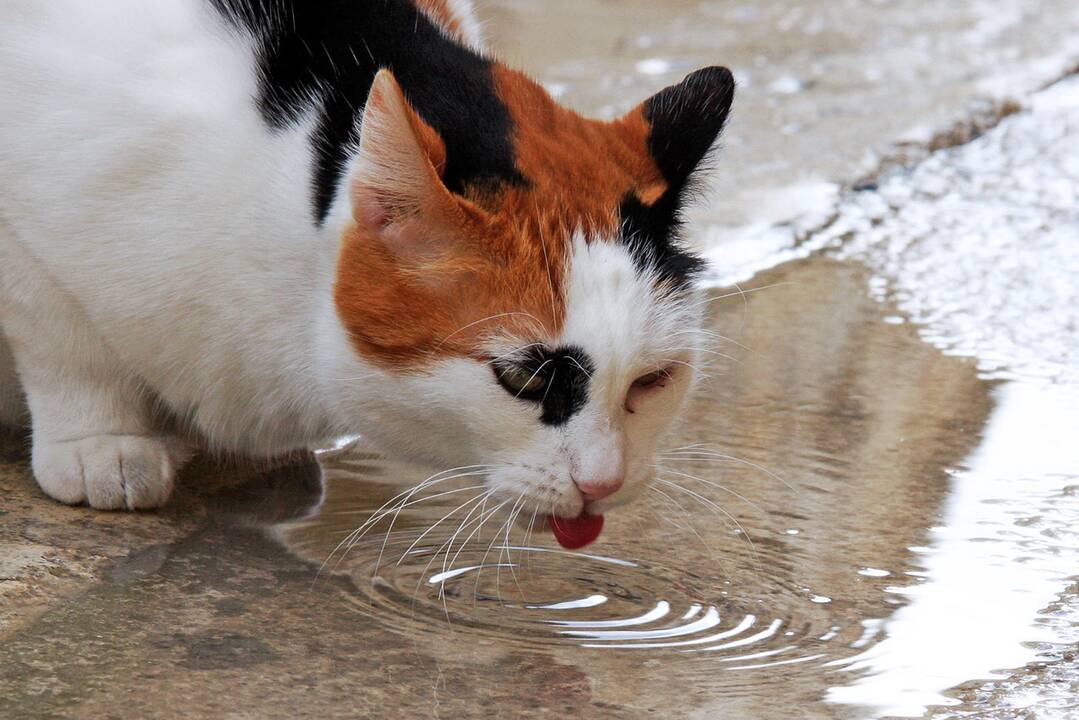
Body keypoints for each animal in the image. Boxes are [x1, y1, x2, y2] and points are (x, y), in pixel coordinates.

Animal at [0, 0, 733, 539]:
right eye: (524, 377)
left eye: (653, 380)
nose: (603, 483)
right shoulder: (27, 231)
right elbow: (64, 339)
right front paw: (102, 444)